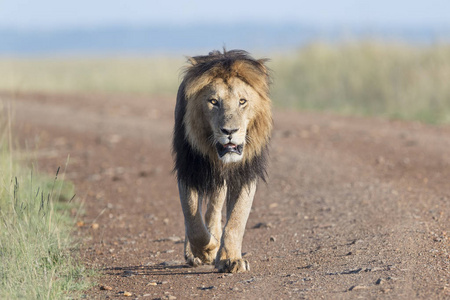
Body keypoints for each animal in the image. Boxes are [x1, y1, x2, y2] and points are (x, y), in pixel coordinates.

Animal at [171, 48, 270, 272]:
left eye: (242, 101)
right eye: (213, 102)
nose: (230, 131)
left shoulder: (245, 173)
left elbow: (237, 219)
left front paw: (230, 259)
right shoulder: (188, 169)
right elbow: (192, 219)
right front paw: (205, 251)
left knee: (214, 209)